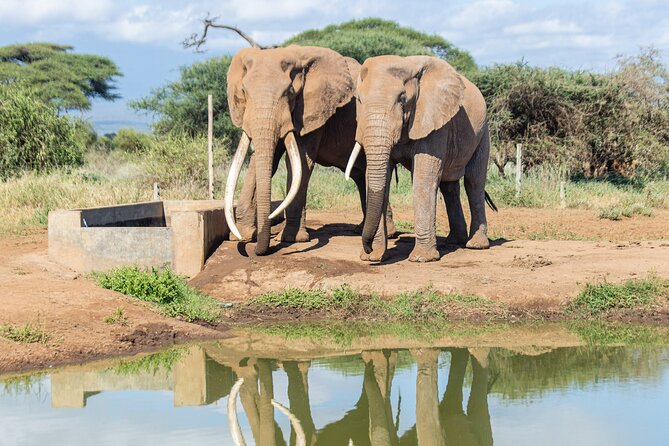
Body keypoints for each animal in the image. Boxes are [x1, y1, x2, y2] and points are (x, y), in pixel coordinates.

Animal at [223, 45, 396, 256]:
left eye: (289, 92)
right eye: (244, 92)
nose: (255, 251)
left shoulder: (312, 111)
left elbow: (301, 161)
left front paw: (291, 239)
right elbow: (264, 162)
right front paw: (242, 235)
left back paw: (388, 234)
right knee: (362, 174)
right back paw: (362, 230)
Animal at [347, 55, 494, 262]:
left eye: (402, 99)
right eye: (359, 100)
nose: (367, 248)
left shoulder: (433, 119)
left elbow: (423, 180)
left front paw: (422, 258)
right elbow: (379, 179)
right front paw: (373, 258)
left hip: (483, 133)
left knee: (473, 182)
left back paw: (476, 245)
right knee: (449, 187)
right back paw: (454, 241)